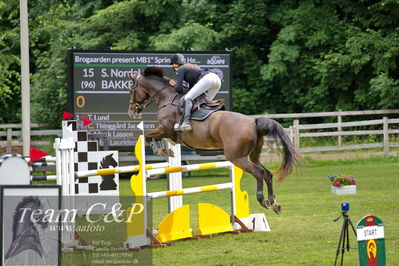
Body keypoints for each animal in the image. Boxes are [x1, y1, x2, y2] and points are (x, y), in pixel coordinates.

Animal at [128, 66, 300, 214]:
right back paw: (273, 202)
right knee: (267, 173)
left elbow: (149, 136)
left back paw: (262, 199)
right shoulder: (166, 131)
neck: (166, 98)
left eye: (132, 89)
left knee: (258, 172)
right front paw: (164, 150)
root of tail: (253, 122)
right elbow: (151, 136)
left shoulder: (167, 130)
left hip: (236, 157)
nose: (132, 111)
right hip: (252, 155)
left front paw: (162, 150)